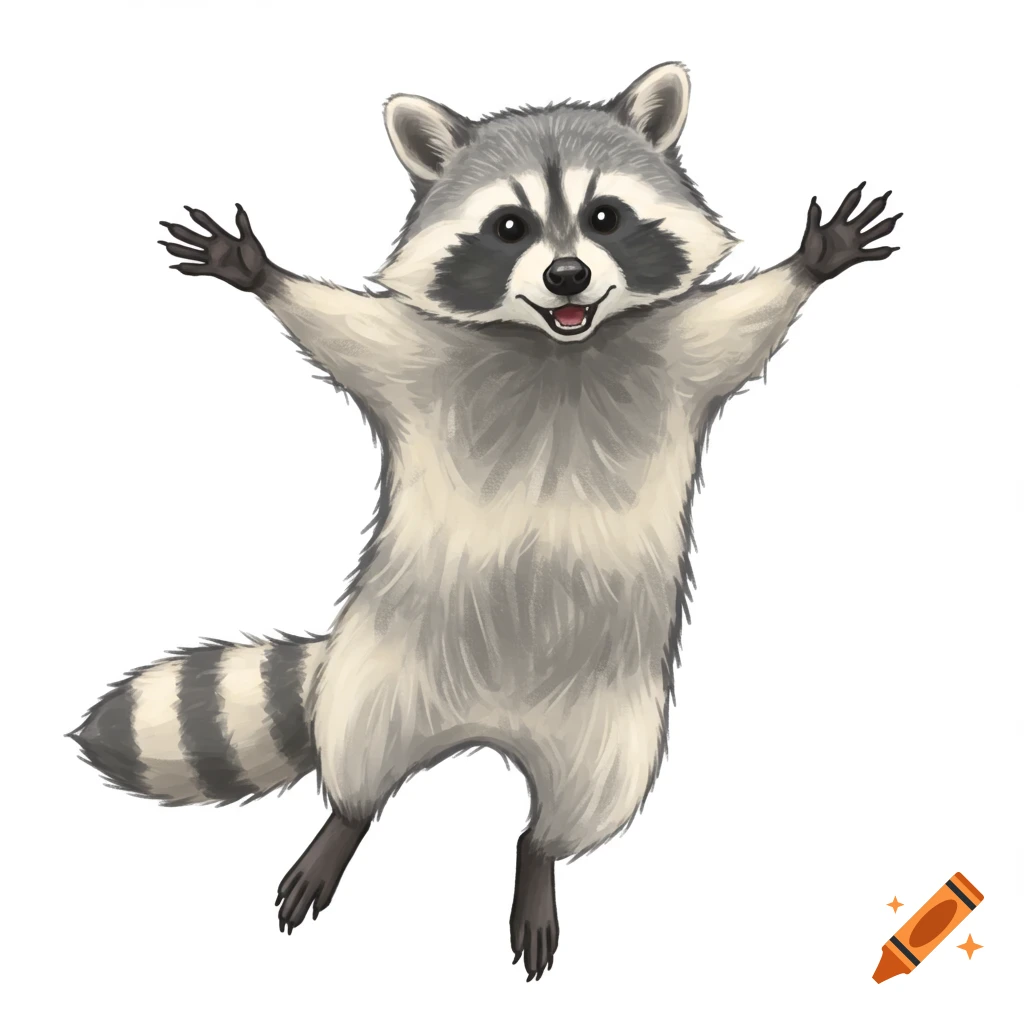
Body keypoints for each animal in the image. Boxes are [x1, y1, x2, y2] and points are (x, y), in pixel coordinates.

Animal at [71, 62, 901, 980]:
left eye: (605, 217)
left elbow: (743, 322)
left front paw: (813, 261)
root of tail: (487, 727)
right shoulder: (420, 366)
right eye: (510, 227)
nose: (568, 276)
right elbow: (342, 331)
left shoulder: (679, 357)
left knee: (579, 808)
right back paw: (344, 822)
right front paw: (258, 271)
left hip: (616, 727)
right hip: (376, 675)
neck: (558, 349)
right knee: (359, 762)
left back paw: (537, 857)